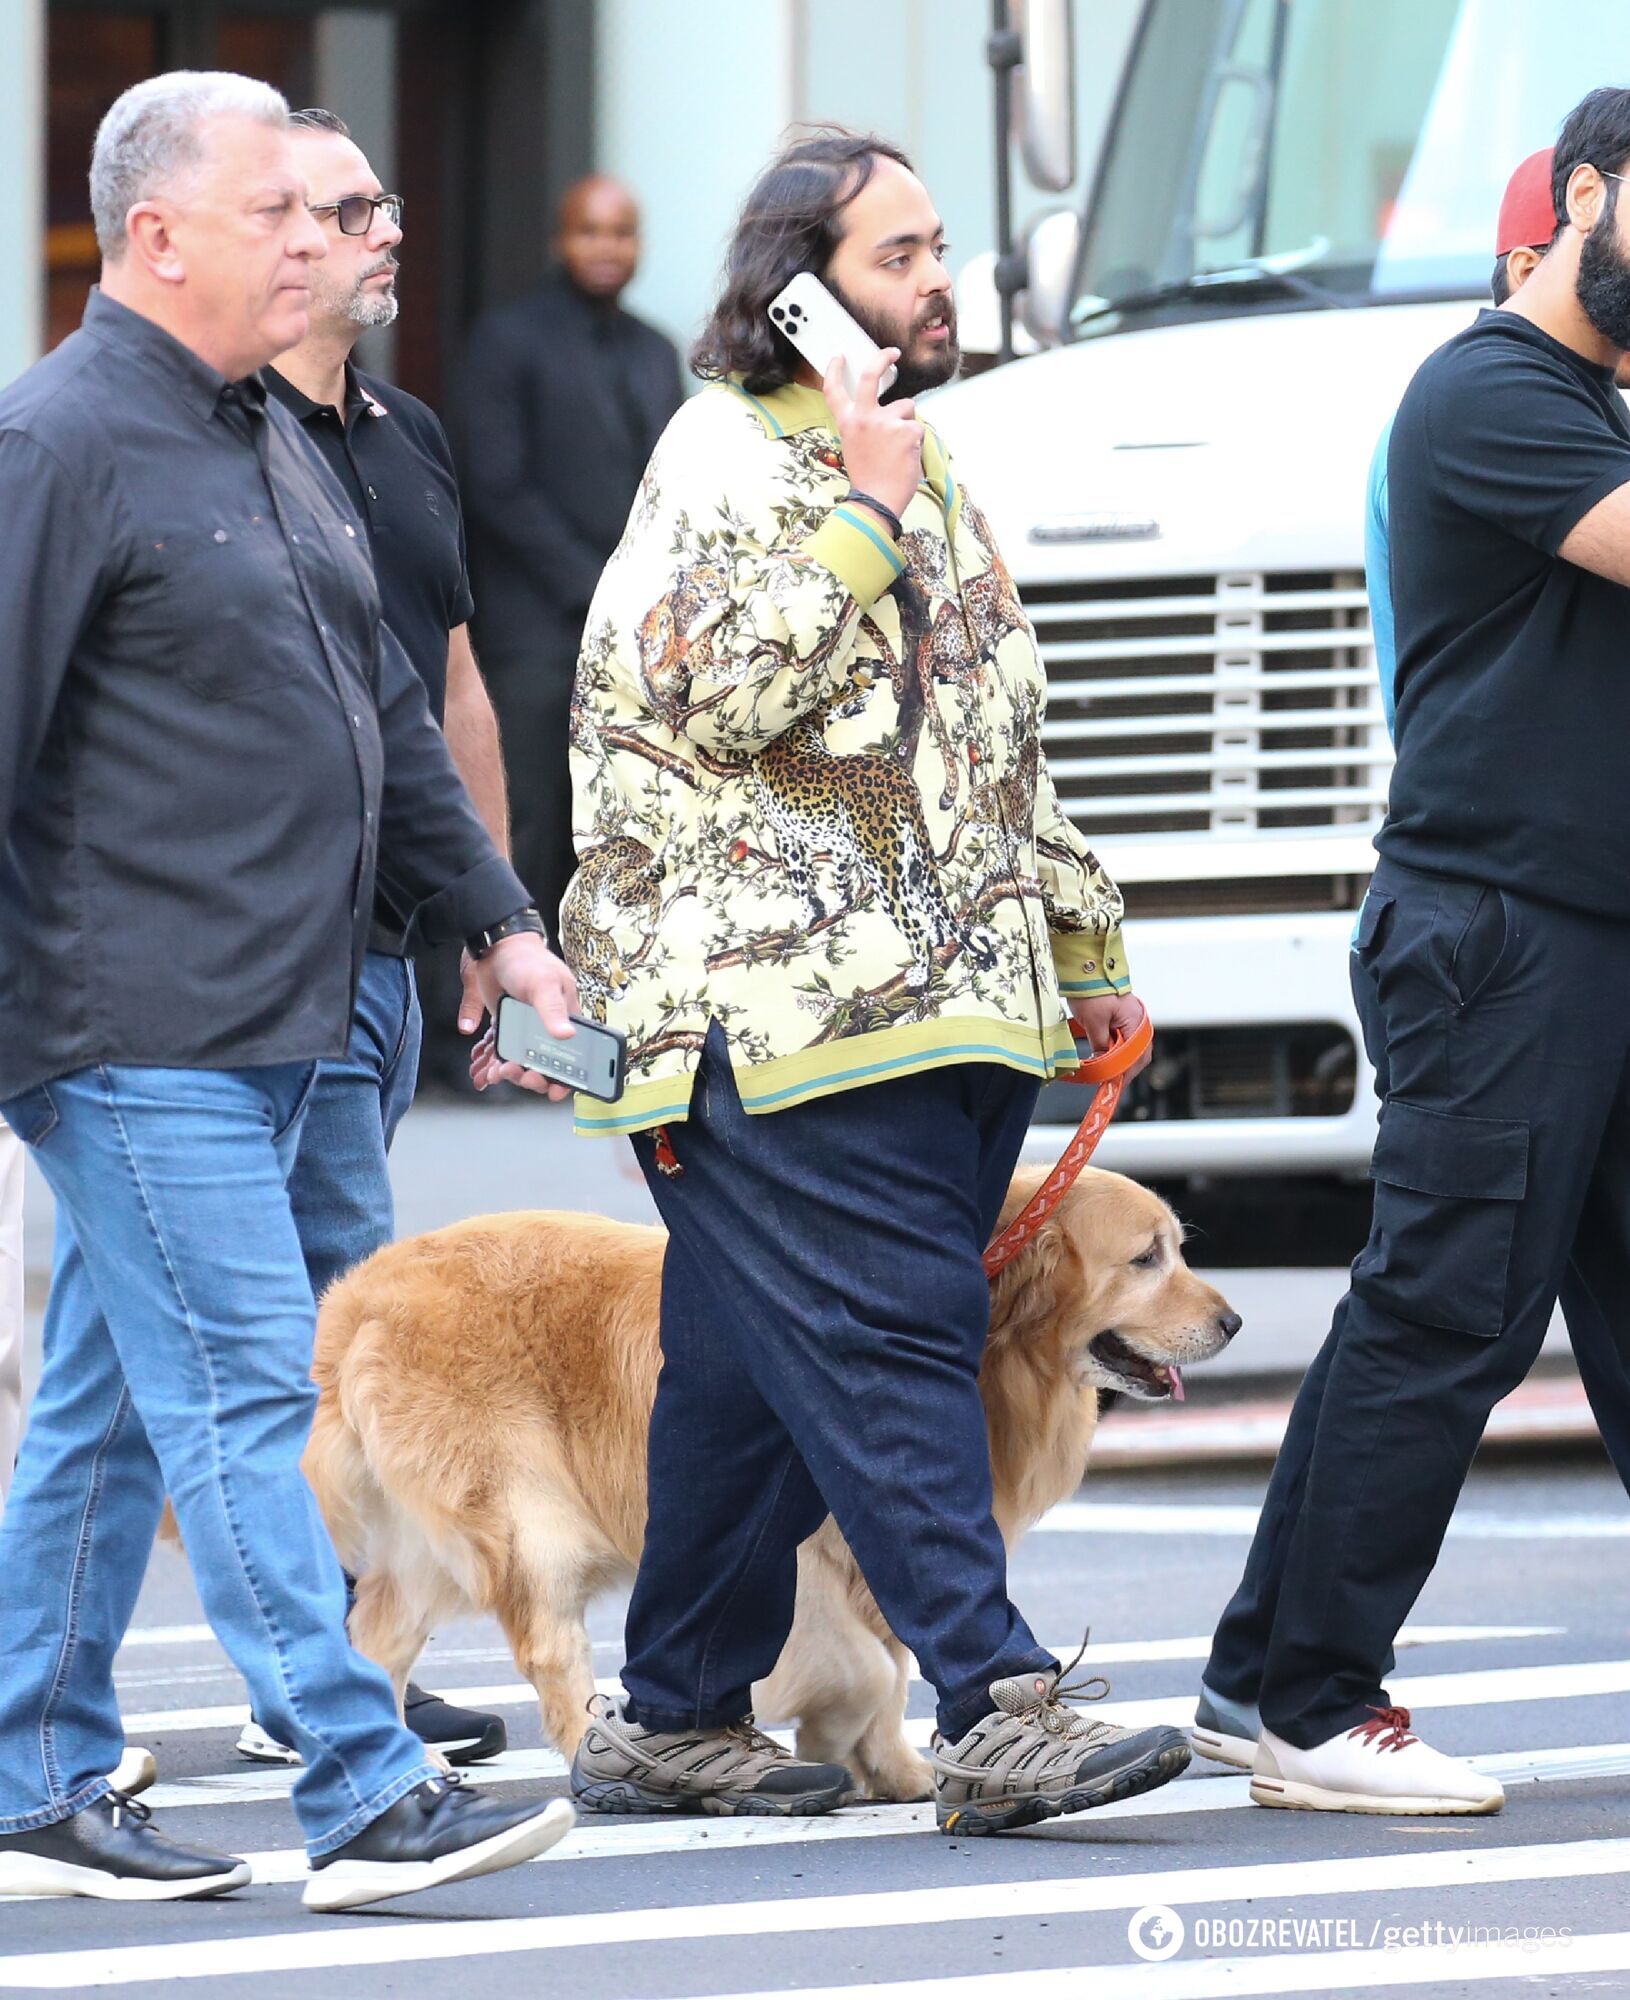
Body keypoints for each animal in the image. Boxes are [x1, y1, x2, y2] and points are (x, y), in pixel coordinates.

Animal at [306, 1168, 1240, 1808]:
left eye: (1180, 1247)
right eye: (1146, 1258)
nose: (1232, 1321)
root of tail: (356, 1294)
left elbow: (899, 1654)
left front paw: (898, 1767)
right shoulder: (802, 1549)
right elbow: (865, 1665)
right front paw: (838, 1744)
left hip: (430, 1547)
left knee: (373, 1640)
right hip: (527, 1516)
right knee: (549, 1650)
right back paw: (586, 1760)